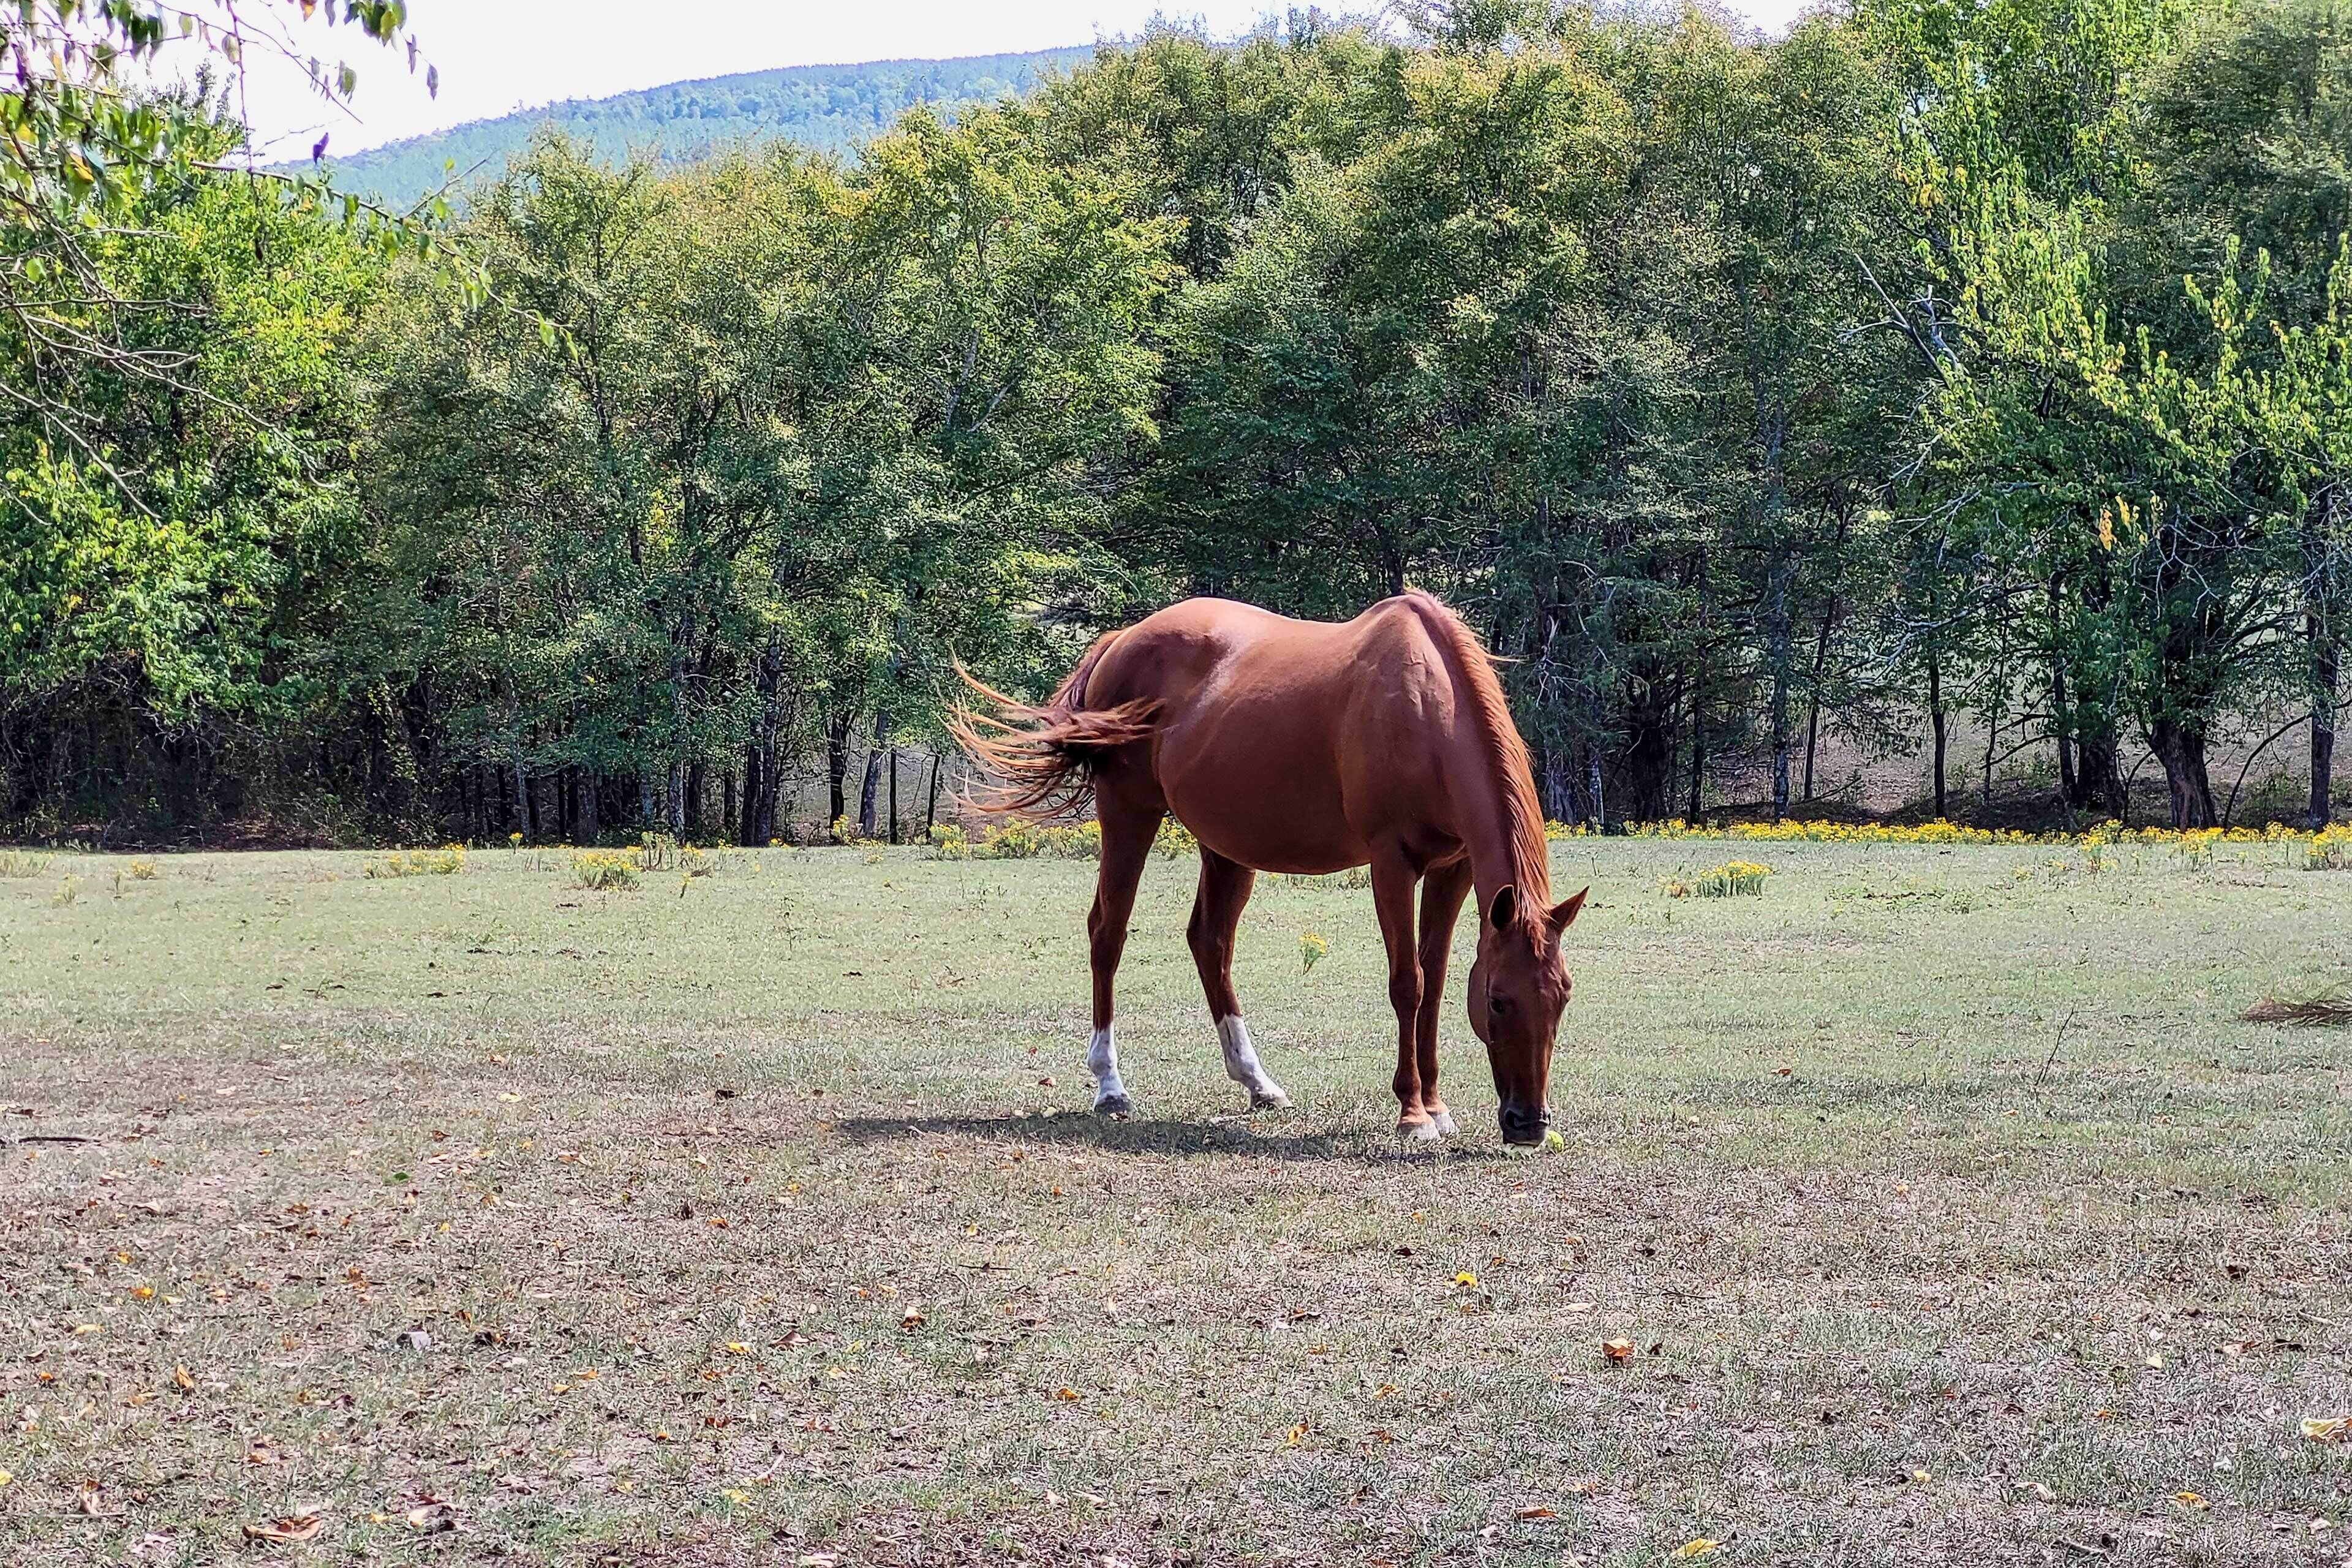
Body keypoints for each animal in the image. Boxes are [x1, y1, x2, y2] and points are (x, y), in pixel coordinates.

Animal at [952, 592, 1586, 1145]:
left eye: (1562, 997)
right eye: (1499, 1001)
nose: (1530, 1125)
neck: (1426, 707)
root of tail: (1123, 639)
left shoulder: (1453, 867)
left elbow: (1434, 984)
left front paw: (1436, 1104)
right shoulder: (1392, 864)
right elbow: (1408, 983)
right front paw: (1412, 1114)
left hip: (1225, 845)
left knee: (1209, 941)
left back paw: (1257, 1083)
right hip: (1128, 812)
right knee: (1107, 932)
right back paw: (1110, 1086)